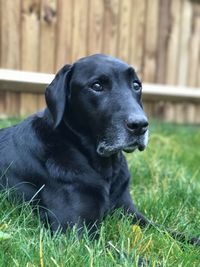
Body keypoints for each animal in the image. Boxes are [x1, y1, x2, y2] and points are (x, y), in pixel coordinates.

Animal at [0, 54, 199, 247]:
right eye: (97, 86)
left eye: (136, 85)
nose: (140, 125)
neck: (105, 168)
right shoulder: (75, 232)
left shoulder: (130, 212)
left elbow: (171, 232)